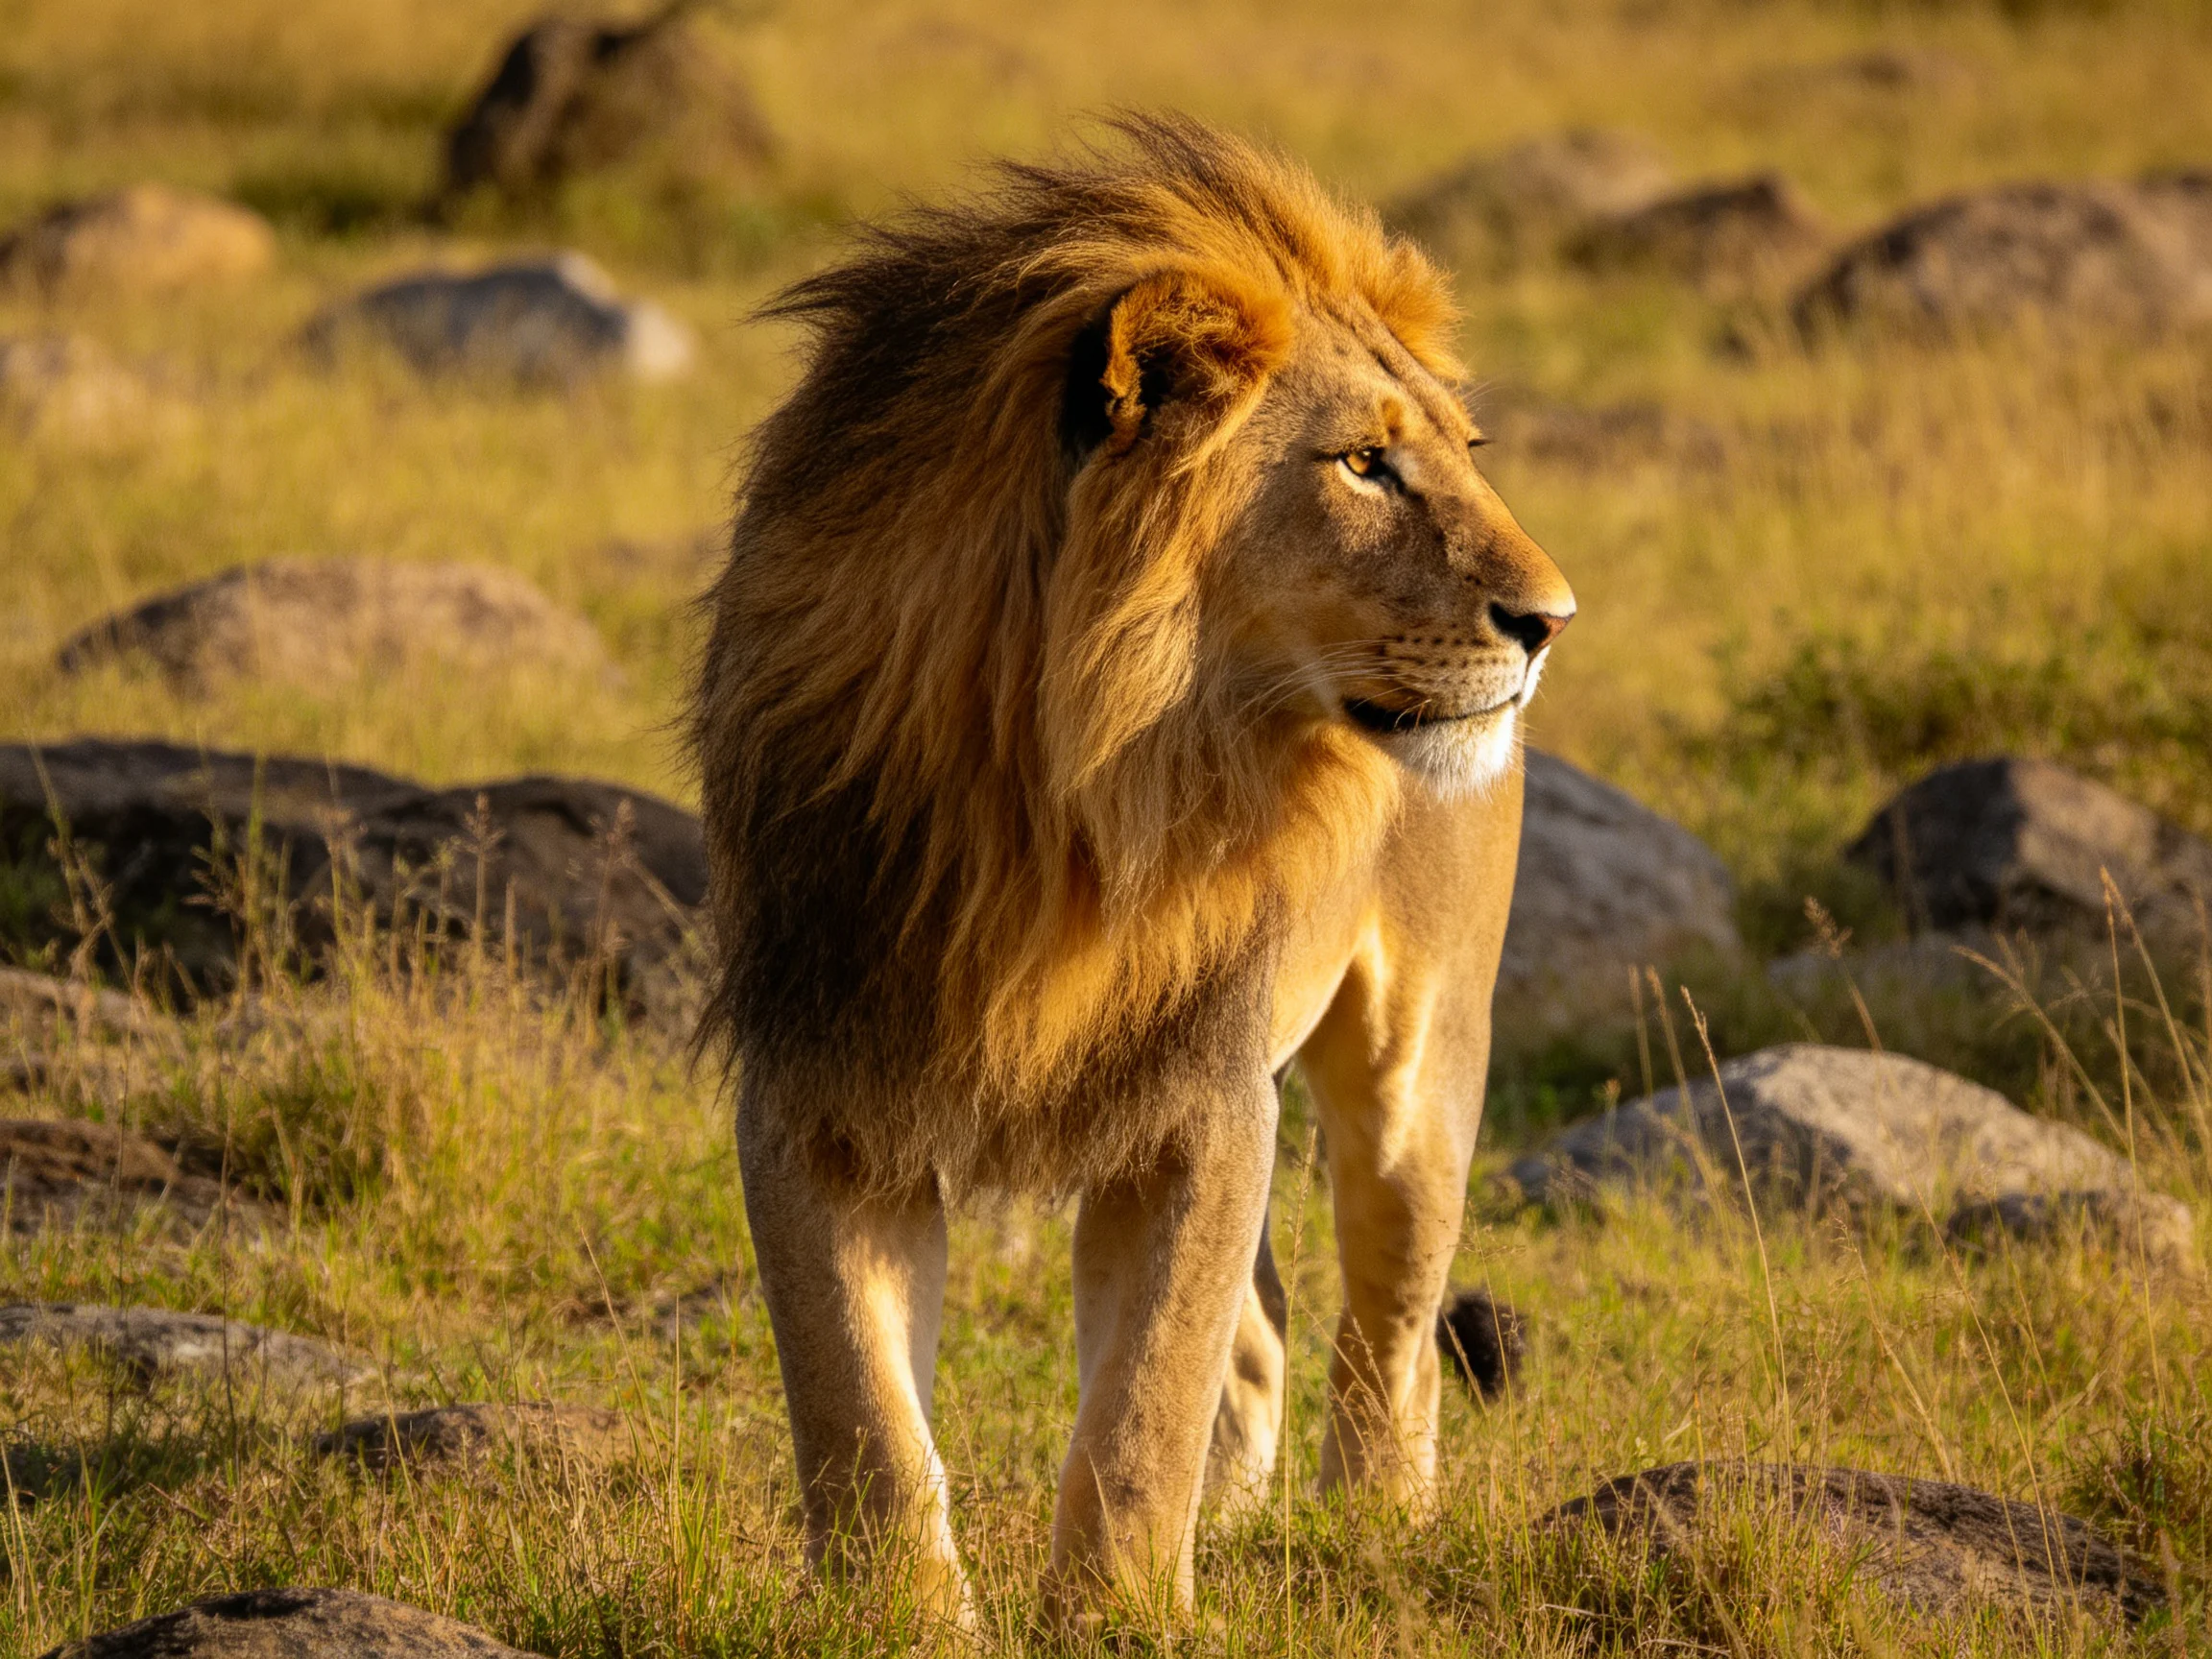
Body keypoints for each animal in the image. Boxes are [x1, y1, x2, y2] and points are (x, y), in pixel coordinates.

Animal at [692, 115, 1573, 1630]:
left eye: (1463, 452)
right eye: (1363, 464)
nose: (1551, 620)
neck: (1056, 784)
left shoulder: (1199, 1094)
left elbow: (1142, 1407)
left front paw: (1118, 1618)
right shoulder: (822, 1080)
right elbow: (856, 1404)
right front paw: (900, 1621)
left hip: (1420, 1068)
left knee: (1391, 1329)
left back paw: (1375, 1526)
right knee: (1263, 1332)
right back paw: (1240, 1514)